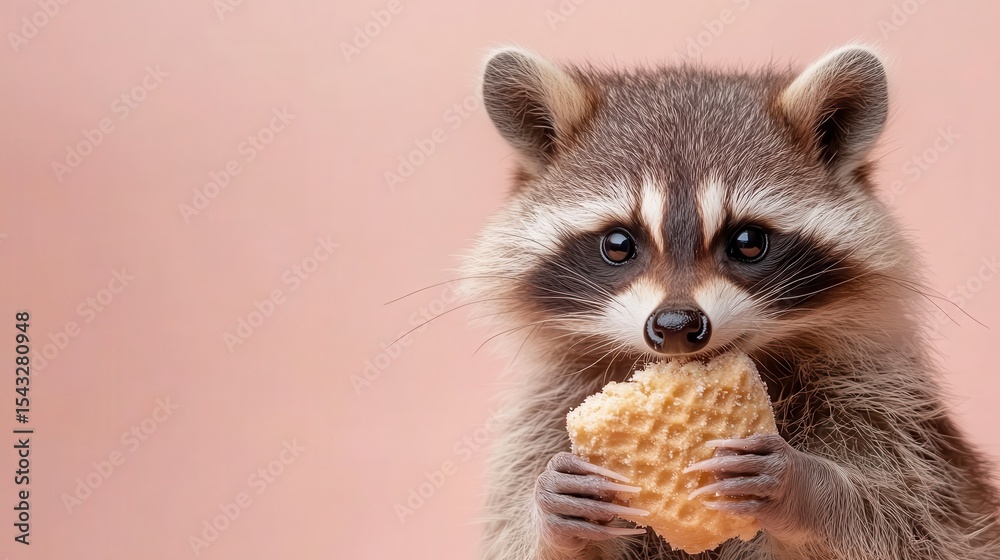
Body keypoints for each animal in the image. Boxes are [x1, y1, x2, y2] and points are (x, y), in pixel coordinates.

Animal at [460, 45, 1000, 560]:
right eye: (617, 244)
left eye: (747, 242)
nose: (676, 324)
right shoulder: (543, 413)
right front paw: (551, 523)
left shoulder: (887, 409)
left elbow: (912, 522)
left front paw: (806, 490)